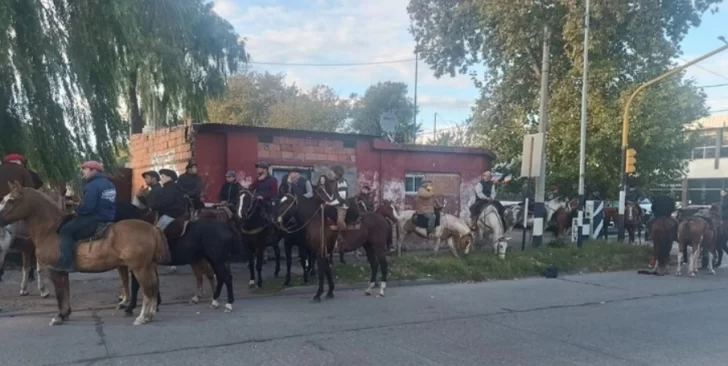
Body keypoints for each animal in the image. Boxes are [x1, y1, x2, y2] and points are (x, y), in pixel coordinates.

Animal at [0, 183, 166, 326]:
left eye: (12, 200)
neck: (50, 229)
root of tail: (152, 228)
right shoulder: (62, 271)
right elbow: (65, 291)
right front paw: (65, 314)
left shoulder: (54, 270)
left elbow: (60, 293)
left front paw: (59, 316)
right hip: (148, 266)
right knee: (153, 286)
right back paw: (149, 314)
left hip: (139, 268)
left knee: (147, 288)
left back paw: (142, 317)